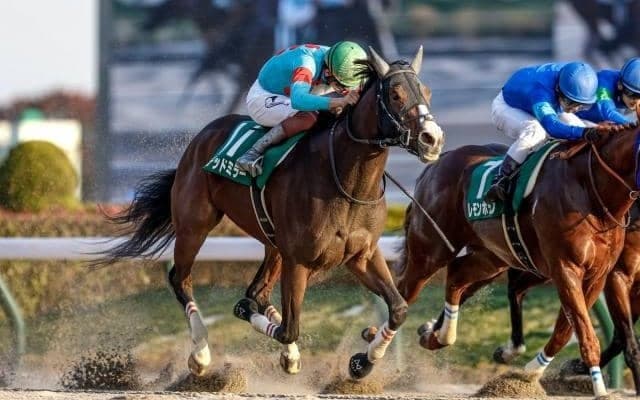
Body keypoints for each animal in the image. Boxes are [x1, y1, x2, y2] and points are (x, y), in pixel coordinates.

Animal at [96, 46, 444, 379]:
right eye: (396, 94)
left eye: (427, 92)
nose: (433, 139)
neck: (347, 181)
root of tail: (202, 135)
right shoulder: (300, 259)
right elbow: (288, 327)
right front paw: (248, 316)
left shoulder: (362, 255)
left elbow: (398, 308)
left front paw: (362, 362)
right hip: (195, 225)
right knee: (181, 279)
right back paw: (201, 355)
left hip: (273, 243)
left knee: (258, 291)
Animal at [392, 109, 640, 397]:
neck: (591, 192)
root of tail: (435, 164)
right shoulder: (567, 269)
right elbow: (586, 333)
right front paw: (599, 389)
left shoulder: (597, 275)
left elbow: (566, 330)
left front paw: (531, 371)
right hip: (431, 250)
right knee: (404, 292)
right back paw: (370, 357)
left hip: (493, 257)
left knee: (457, 276)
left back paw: (436, 336)